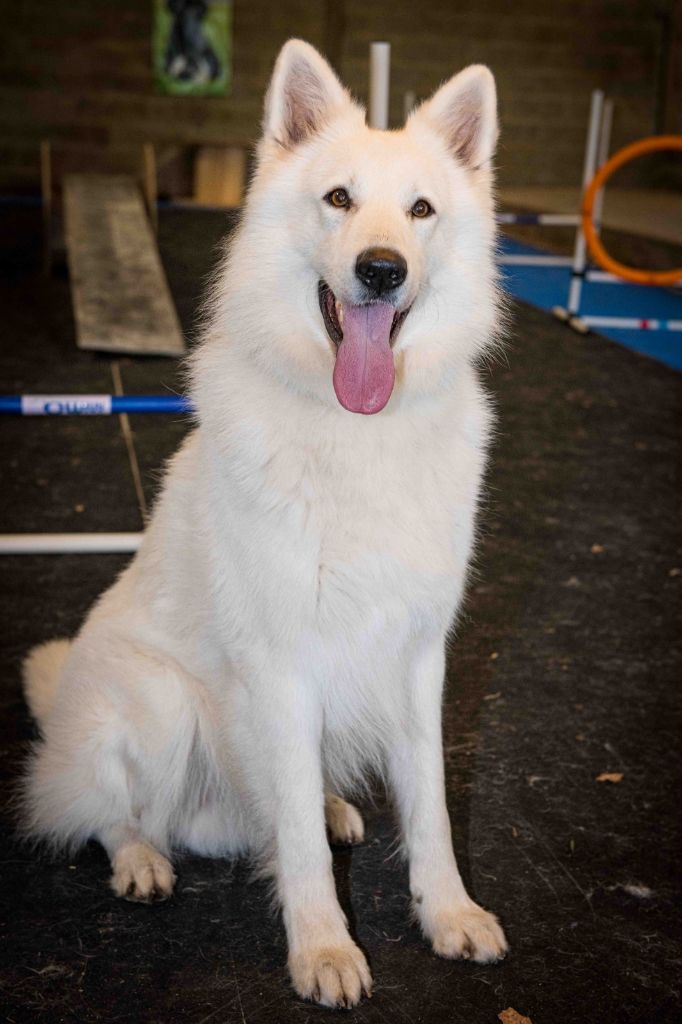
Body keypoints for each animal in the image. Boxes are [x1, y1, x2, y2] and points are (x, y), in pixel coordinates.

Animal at [19, 37, 503, 1007]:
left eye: (421, 210)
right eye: (340, 199)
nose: (382, 269)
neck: (358, 435)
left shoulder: (418, 657)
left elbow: (430, 806)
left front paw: (448, 915)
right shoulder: (282, 662)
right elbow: (303, 854)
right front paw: (323, 949)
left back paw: (325, 804)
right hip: (162, 705)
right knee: (106, 811)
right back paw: (140, 860)